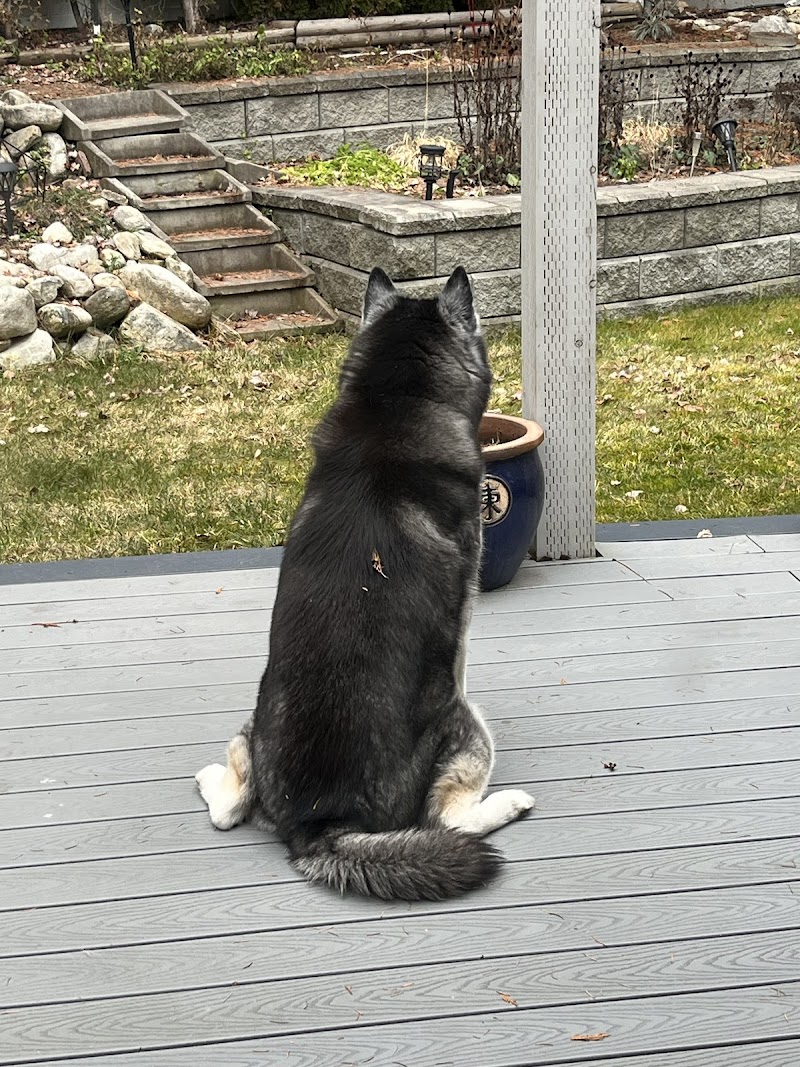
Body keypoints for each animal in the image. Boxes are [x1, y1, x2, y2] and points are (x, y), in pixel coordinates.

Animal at [196, 267, 534, 900]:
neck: (393, 404)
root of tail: (320, 823)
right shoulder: (461, 630)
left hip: (253, 720)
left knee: (230, 807)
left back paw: (211, 779)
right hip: (466, 723)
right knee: (447, 820)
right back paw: (509, 804)